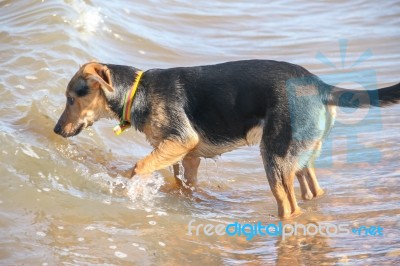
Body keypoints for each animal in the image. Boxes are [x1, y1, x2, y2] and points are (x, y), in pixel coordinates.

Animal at [54, 60, 400, 218]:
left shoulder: (182, 139)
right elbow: (181, 180)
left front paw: (126, 188)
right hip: (300, 158)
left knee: (289, 208)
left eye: (72, 98)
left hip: (274, 158)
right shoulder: (186, 154)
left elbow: (139, 167)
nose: (56, 130)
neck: (137, 92)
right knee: (312, 190)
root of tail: (321, 86)